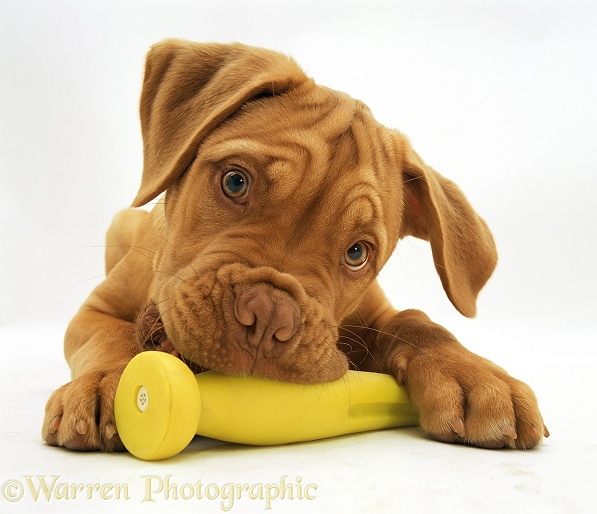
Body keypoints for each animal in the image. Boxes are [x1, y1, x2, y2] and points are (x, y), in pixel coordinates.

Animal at [42, 39, 548, 448]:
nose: (268, 316)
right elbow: (110, 338)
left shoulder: (377, 314)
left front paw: (473, 374)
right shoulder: (95, 311)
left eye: (357, 253)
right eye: (235, 182)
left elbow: (417, 322)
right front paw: (106, 382)